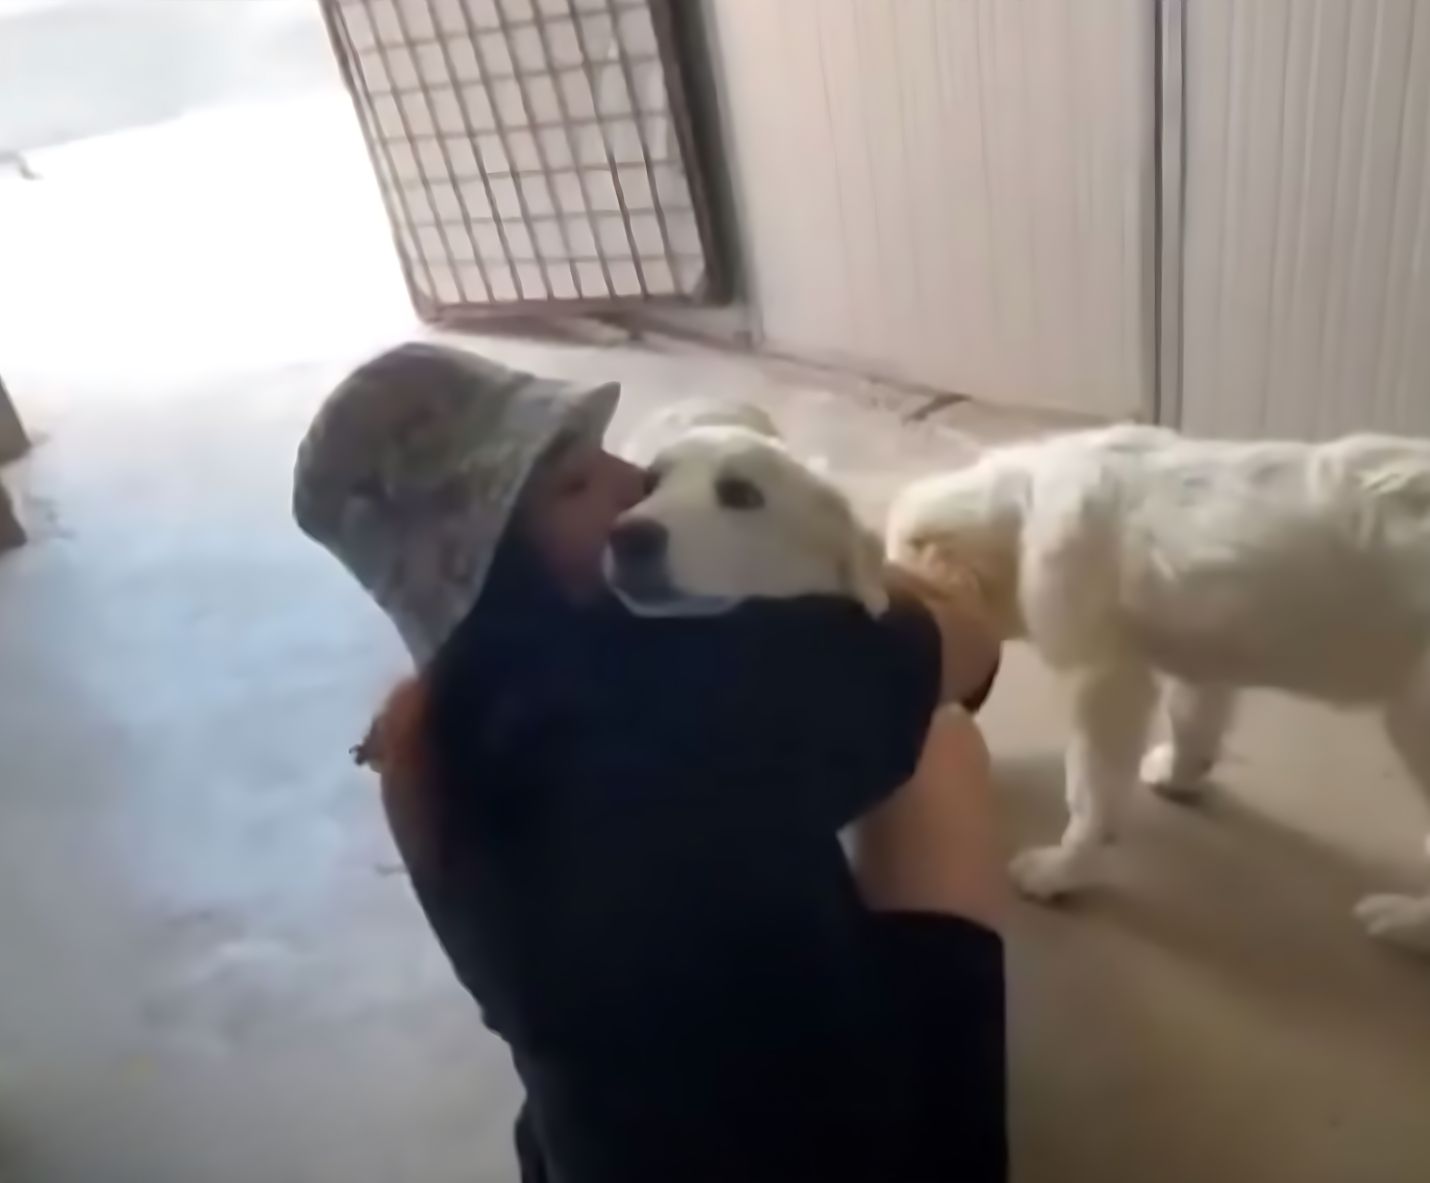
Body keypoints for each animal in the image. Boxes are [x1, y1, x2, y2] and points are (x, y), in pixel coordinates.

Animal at [880, 426, 1430, 955]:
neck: (1024, 510)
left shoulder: (1106, 681)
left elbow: (1090, 788)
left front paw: (1063, 869)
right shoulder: (1202, 653)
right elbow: (1194, 718)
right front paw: (1180, 775)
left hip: (1413, 722)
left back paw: (1404, 922)